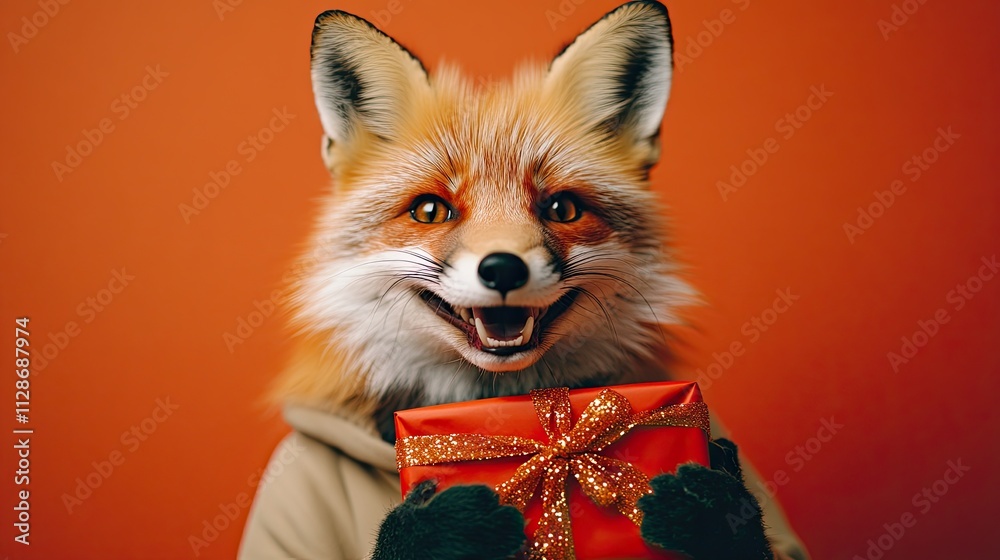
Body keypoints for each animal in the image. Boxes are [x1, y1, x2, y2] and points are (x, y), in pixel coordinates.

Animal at [239, 2, 809, 559]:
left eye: (562, 208)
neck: (499, 401)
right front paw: (440, 530)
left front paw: (709, 514)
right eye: (430, 210)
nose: (502, 268)